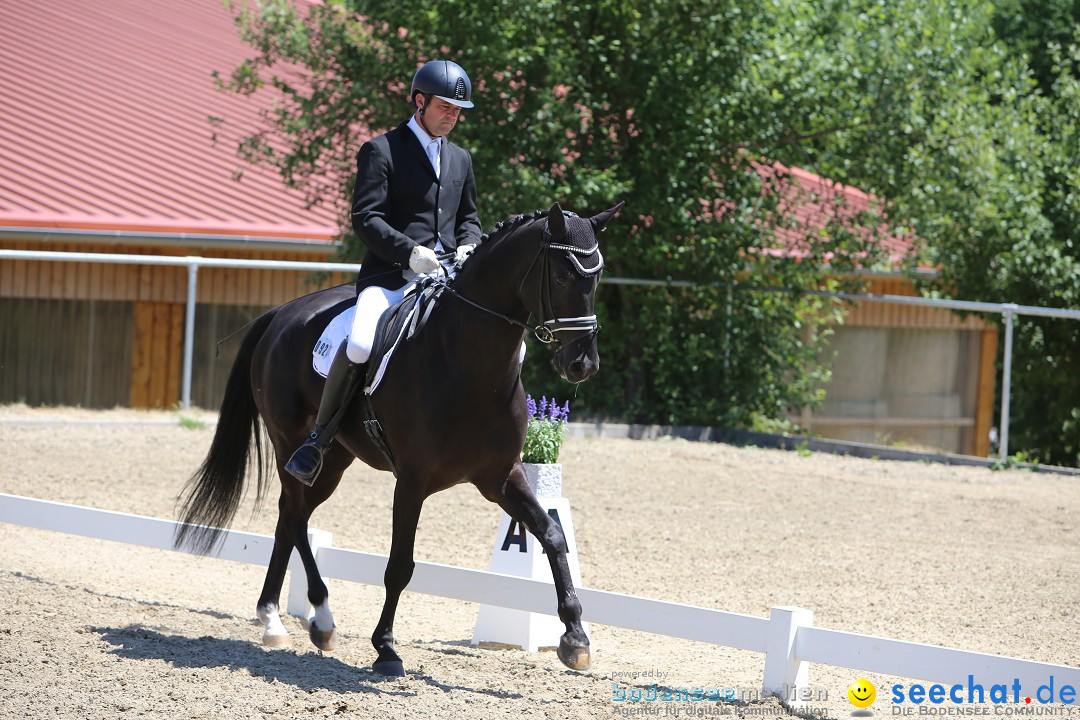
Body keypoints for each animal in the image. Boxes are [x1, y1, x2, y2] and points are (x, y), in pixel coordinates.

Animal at [173, 201, 622, 677]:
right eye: (562, 276)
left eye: (596, 277)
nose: (582, 364)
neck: (470, 365)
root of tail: (280, 315)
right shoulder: (412, 480)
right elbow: (399, 565)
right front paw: (385, 648)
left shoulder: (500, 476)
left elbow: (552, 534)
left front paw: (575, 638)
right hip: (289, 441)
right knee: (294, 516)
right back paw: (320, 618)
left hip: (333, 461)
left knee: (290, 517)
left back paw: (276, 618)